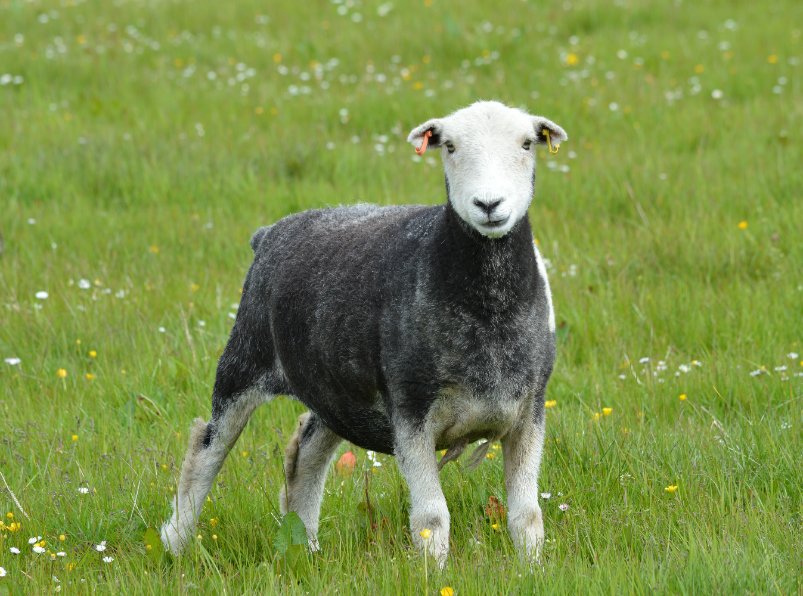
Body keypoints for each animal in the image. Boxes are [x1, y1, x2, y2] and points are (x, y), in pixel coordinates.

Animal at [162, 100, 564, 564]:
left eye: (527, 143)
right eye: (449, 146)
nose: (488, 203)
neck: (488, 305)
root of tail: (270, 234)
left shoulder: (529, 409)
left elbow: (527, 515)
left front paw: (531, 569)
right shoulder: (409, 410)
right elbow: (431, 518)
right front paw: (433, 571)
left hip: (334, 390)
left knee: (306, 451)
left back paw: (306, 547)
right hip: (244, 360)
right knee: (207, 449)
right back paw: (175, 542)